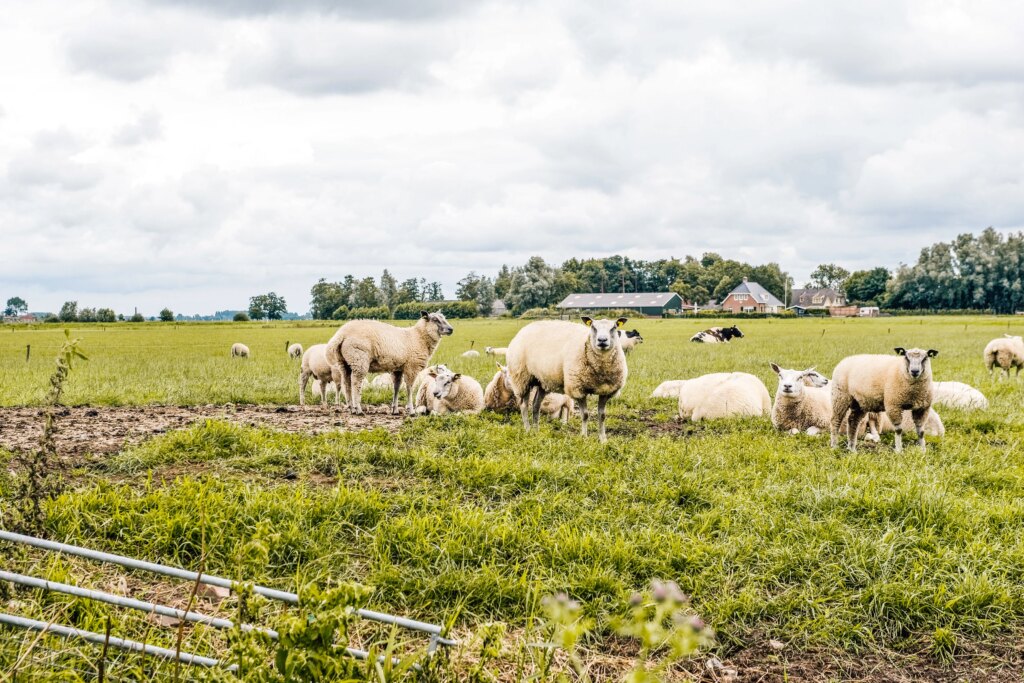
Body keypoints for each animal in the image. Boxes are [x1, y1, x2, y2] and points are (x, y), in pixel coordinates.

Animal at [326, 310, 454, 415]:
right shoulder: (411, 367)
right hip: (359, 360)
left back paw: (351, 408)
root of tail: (341, 334)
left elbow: (396, 387)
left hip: (344, 362)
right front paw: (411, 410)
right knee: (356, 383)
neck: (419, 337)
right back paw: (358, 409)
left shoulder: (398, 369)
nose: (451, 329)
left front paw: (395, 410)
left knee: (346, 383)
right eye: (435, 320)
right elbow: (409, 388)